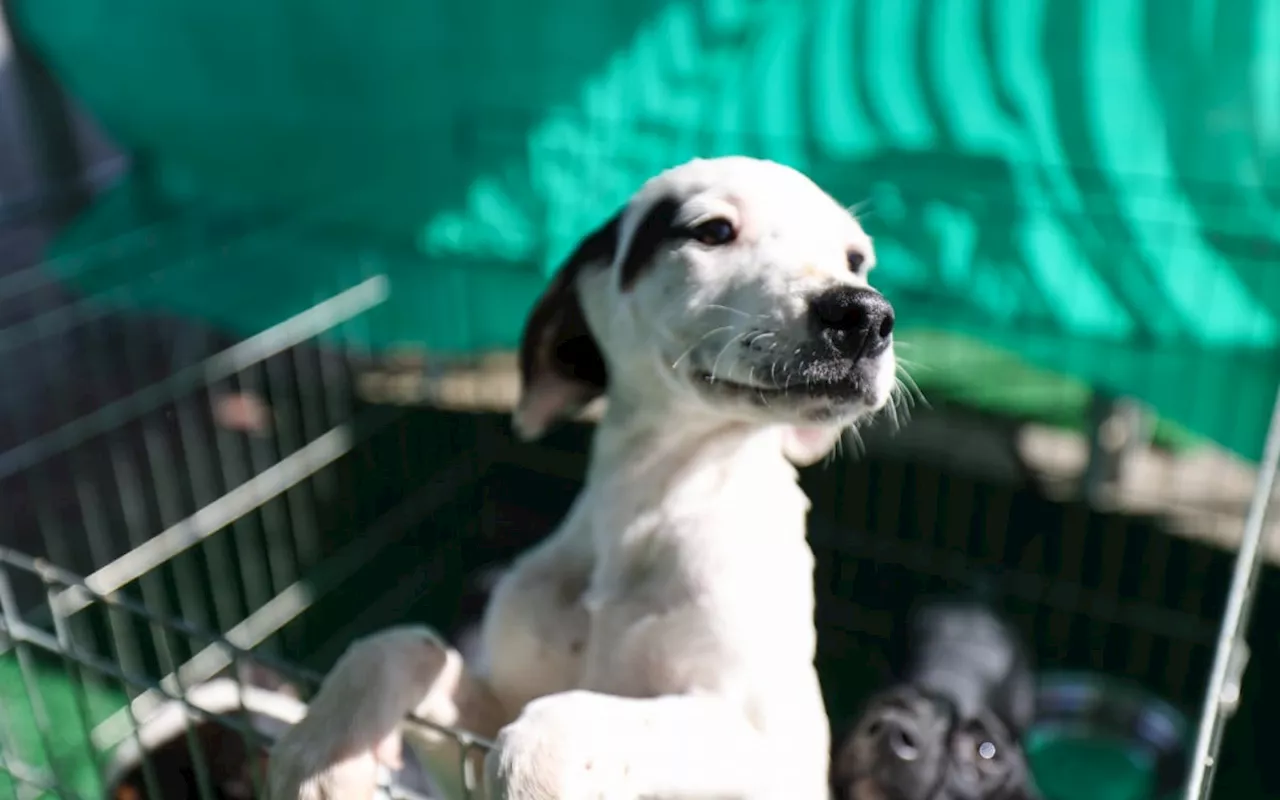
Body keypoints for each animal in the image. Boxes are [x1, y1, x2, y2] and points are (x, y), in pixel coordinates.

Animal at [264, 156, 896, 798]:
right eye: (714, 230)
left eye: (855, 260)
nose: (865, 314)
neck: (653, 500)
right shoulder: (477, 725)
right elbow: (403, 644)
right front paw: (320, 750)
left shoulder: (780, 758)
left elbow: (571, 718)